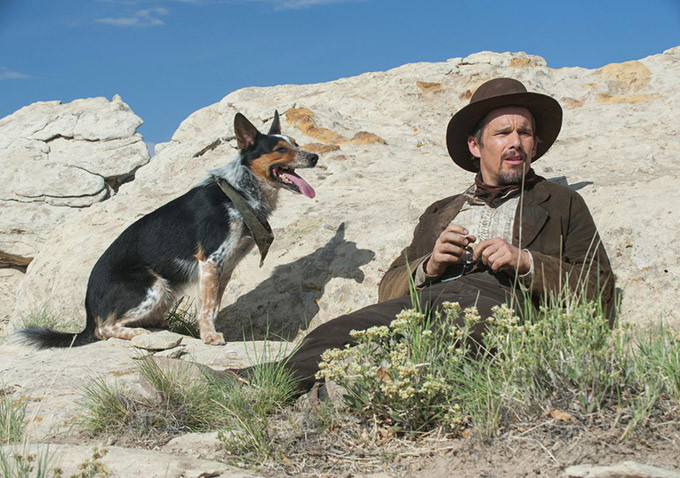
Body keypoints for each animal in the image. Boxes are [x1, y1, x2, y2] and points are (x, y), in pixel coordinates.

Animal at [15, 109, 318, 346]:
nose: (314, 157)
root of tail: (89, 314)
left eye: (296, 143)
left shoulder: (226, 266)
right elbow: (206, 306)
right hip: (155, 284)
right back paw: (137, 333)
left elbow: (213, 306)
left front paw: (209, 332)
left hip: (167, 290)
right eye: (280, 150)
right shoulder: (210, 261)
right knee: (104, 329)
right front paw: (210, 337)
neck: (239, 192)